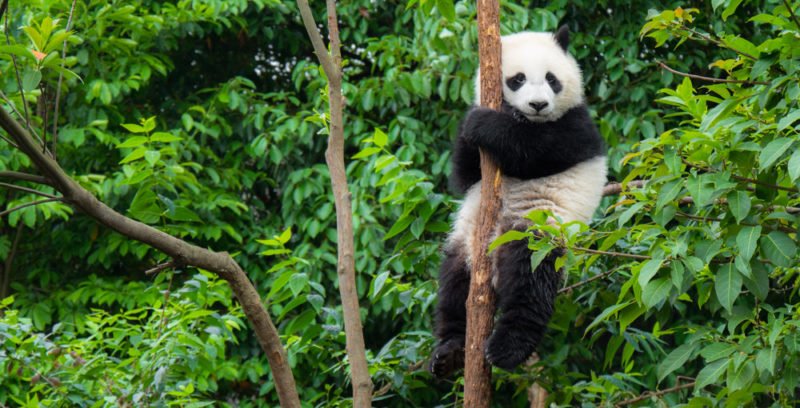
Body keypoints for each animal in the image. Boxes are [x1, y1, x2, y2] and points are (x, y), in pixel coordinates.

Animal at [432, 23, 608, 378]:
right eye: (518, 79)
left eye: (552, 79)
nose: (538, 104)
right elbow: (463, 176)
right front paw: (471, 122)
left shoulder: (577, 127)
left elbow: (536, 151)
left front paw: (483, 124)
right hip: (465, 243)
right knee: (454, 286)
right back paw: (449, 352)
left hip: (538, 229)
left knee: (530, 281)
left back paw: (507, 349)